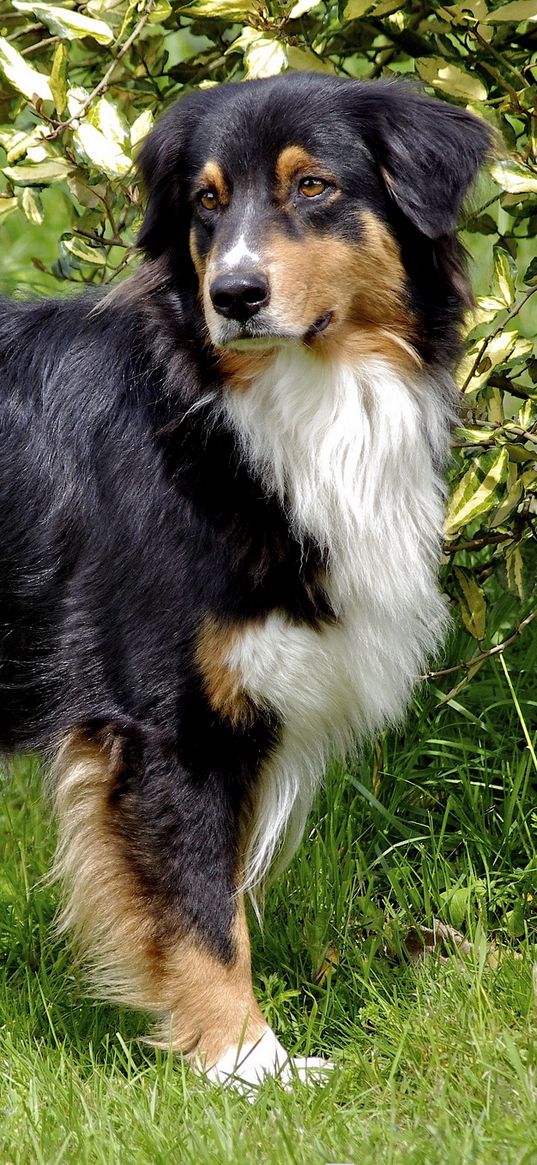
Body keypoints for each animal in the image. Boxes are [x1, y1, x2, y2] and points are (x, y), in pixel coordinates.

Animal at [0, 72, 489, 1090]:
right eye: (205, 202)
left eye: (314, 186)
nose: (233, 293)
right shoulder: (163, 722)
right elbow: (200, 914)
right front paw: (248, 1067)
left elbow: (212, 896)